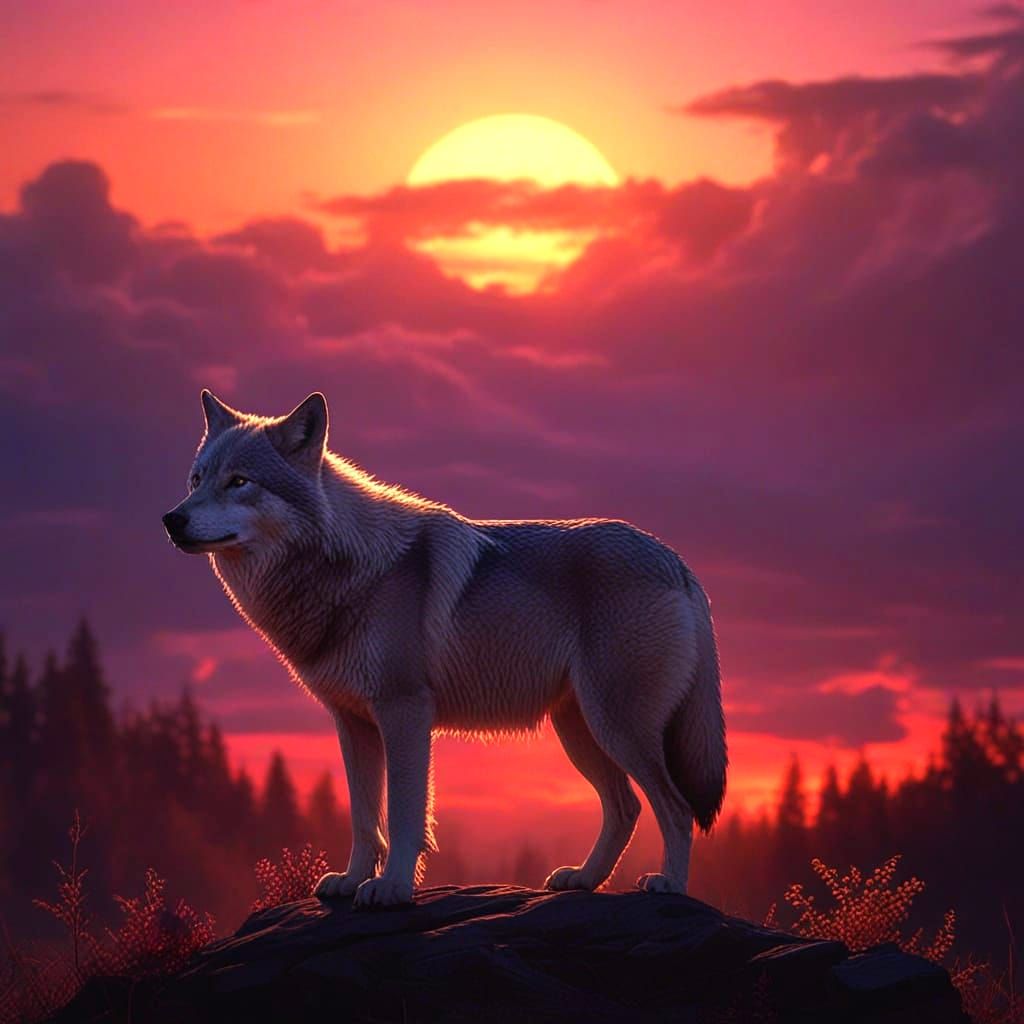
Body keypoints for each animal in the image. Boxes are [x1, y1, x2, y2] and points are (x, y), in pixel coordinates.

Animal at [163, 391, 727, 907]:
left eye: (240, 482)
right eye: (196, 480)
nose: (172, 519)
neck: (346, 568)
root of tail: (676, 561)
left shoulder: (405, 710)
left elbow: (405, 814)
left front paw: (390, 888)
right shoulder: (352, 723)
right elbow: (364, 818)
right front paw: (351, 881)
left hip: (616, 726)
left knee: (676, 808)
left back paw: (670, 886)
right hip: (580, 730)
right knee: (626, 808)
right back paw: (583, 879)